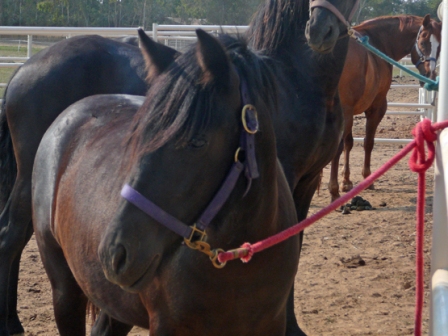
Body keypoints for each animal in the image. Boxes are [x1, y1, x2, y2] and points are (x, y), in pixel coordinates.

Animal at [328, 14, 440, 201]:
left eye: (439, 47)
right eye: (423, 42)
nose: (430, 76)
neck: (377, 43)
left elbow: (349, 143)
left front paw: (347, 181)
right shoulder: (376, 108)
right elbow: (368, 142)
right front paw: (367, 178)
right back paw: (333, 189)